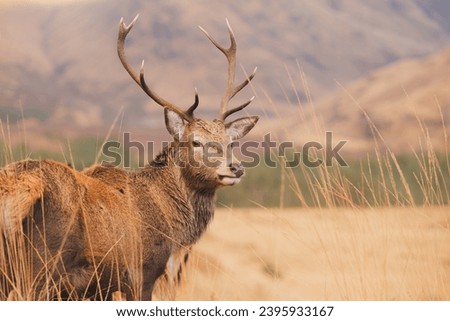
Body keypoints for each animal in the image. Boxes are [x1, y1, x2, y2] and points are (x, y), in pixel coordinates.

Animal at [0, 15, 256, 300]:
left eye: (231, 142)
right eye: (196, 141)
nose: (235, 168)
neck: (169, 222)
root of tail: (20, 190)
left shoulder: (97, 289)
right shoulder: (142, 271)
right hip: (39, 267)